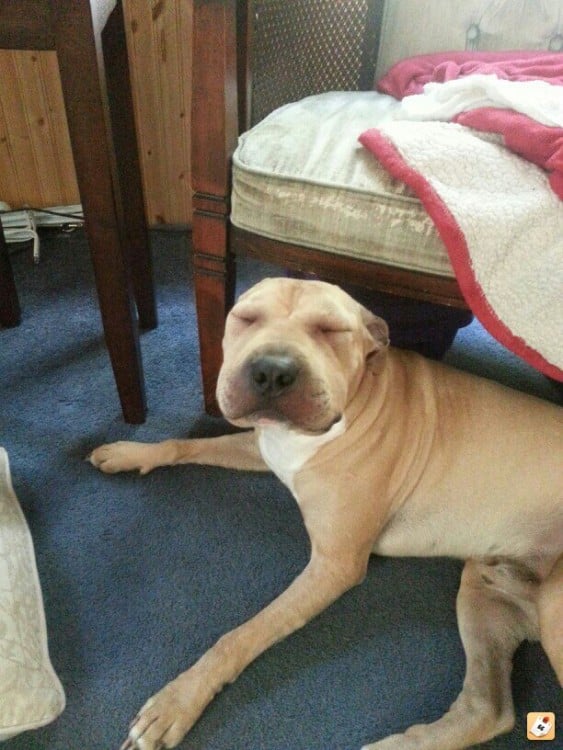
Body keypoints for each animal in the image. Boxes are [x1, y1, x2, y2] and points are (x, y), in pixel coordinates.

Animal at [90, 278, 560, 750]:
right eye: (246, 318)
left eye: (331, 330)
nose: (272, 371)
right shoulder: (264, 445)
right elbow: (186, 444)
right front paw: (133, 453)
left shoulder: (334, 566)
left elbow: (241, 636)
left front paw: (178, 701)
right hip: (485, 590)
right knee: (489, 709)